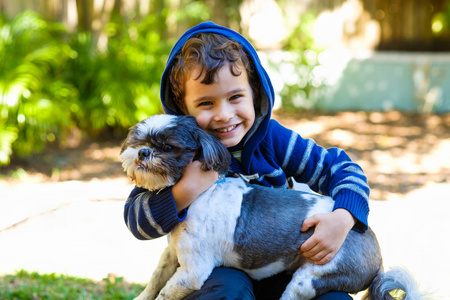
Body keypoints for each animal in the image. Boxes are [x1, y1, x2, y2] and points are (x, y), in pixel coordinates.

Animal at [120, 114, 426, 300]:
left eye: (168, 147)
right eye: (139, 140)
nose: (143, 152)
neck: (200, 194)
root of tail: (377, 255)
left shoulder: (192, 273)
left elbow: (165, 292)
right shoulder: (173, 254)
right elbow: (155, 281)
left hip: (313, 277)